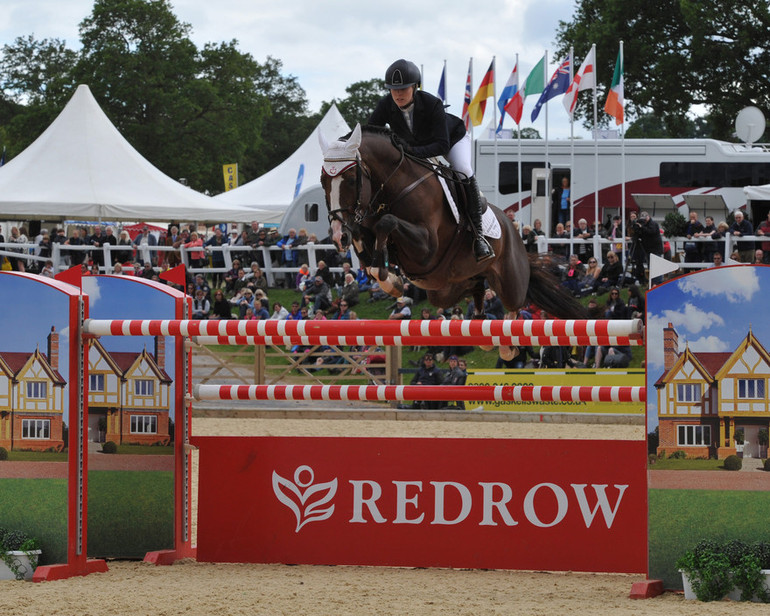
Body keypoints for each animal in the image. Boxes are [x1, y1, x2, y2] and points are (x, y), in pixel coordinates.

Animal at [316, 122, 584, 358]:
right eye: (323, 181)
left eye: (352, 179)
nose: (338, 235)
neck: (394, 186)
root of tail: (513, 229)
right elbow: (366, 241)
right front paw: (388, 277)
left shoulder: (426, 248)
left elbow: (387, 223)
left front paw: (388, 280)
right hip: (444, 287)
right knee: (475, 288)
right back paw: (482, 329)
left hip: (510, 279)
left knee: (513, 305)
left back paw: (507, 346)